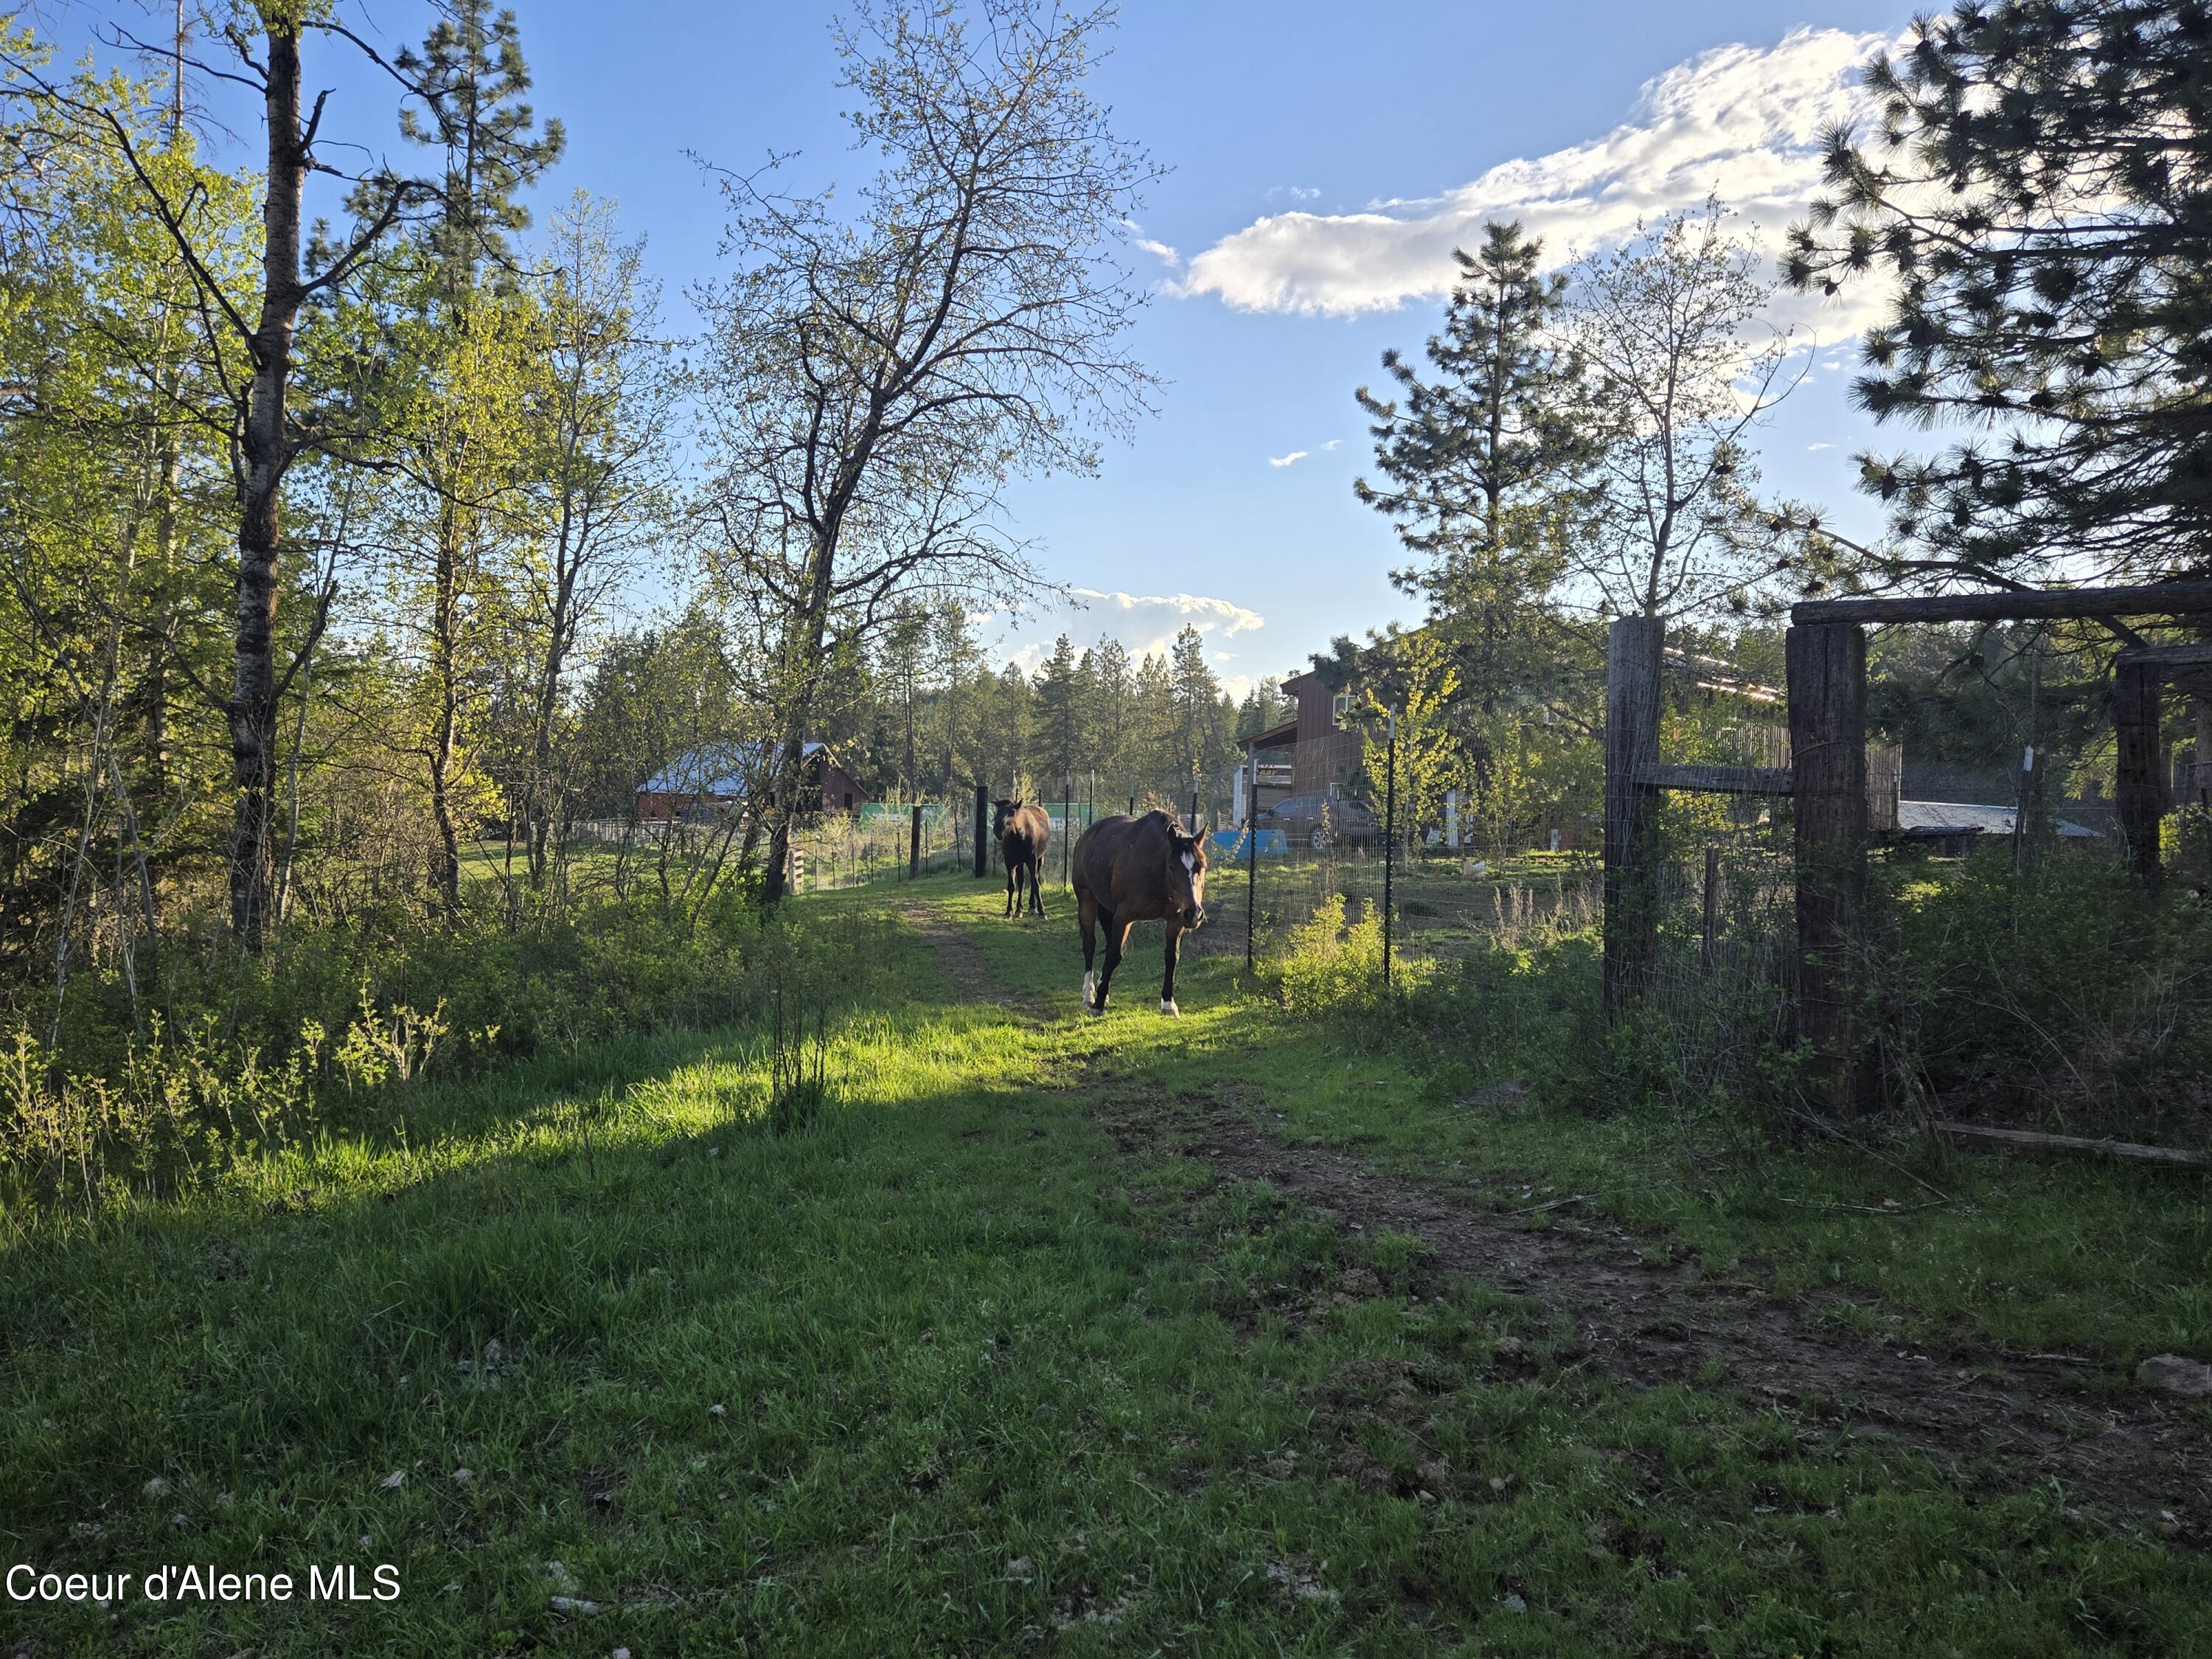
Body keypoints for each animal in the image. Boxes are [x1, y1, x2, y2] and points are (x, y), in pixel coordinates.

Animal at [993, 799, 1051, 918]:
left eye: (1012, 813)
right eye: (998, 812)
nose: (998, 830)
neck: (1019, 836)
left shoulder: (1032, 860)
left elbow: (1035, 883)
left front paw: (1042, 911)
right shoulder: (1010, 862)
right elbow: (1012, 886)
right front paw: (1009, 911)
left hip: (1040, 860)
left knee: (1034, 879)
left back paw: (1032, 907)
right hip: (1020, 862)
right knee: (1021, 882)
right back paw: (1019, 909)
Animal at [1071, 810, 1208, 1016]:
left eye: (1202, 866)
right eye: (1172, 867)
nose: (1194, 914)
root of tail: (1087, 835)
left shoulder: (1175, 920)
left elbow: (1172, 957)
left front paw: (1169, 1004)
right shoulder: (1124, 916)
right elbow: (1114, 955)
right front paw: (1099, 1004)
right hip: (1087, 900)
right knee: (1089, 945)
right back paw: (1089, 995)